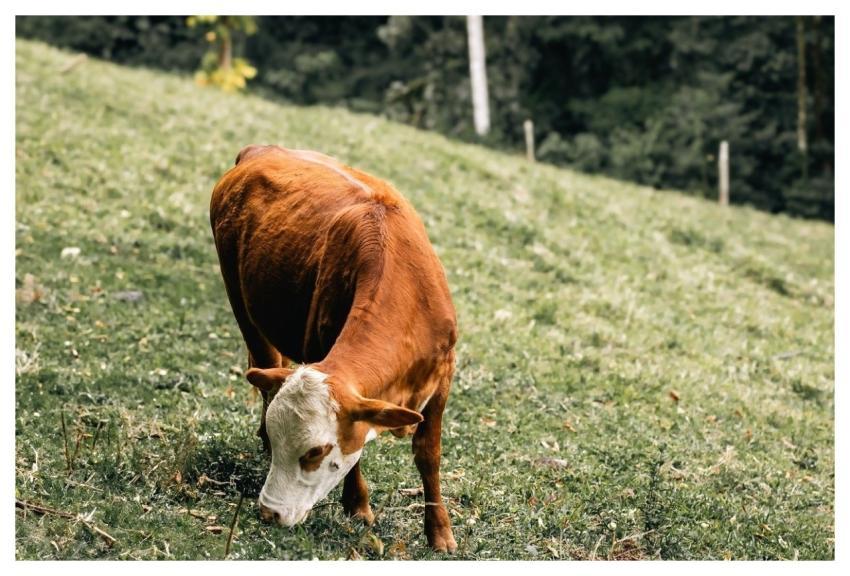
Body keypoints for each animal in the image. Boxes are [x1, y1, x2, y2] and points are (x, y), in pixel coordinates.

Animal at [209, 145, 458, 552]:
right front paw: (357, 505)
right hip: (240, 299)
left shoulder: (442, 378)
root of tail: (261, 150)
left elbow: (429, 455)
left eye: (315, 452)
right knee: (264, 365)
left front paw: (440, 532)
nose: (269, 513)